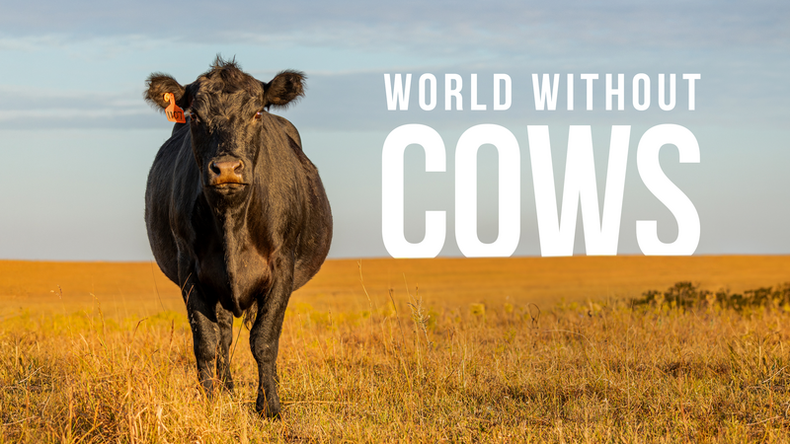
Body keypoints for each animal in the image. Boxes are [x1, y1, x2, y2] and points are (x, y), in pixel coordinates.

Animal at [143, 57, 332, 418]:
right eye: (195, 116)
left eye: (257, 112)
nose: (228, 168)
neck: (232, 221)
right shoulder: (189, 269)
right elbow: (206, 340)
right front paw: (210, 400)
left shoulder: (282, 268)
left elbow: (265, 339)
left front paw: (270, 406)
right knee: (224, 335)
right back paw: (226, 388)